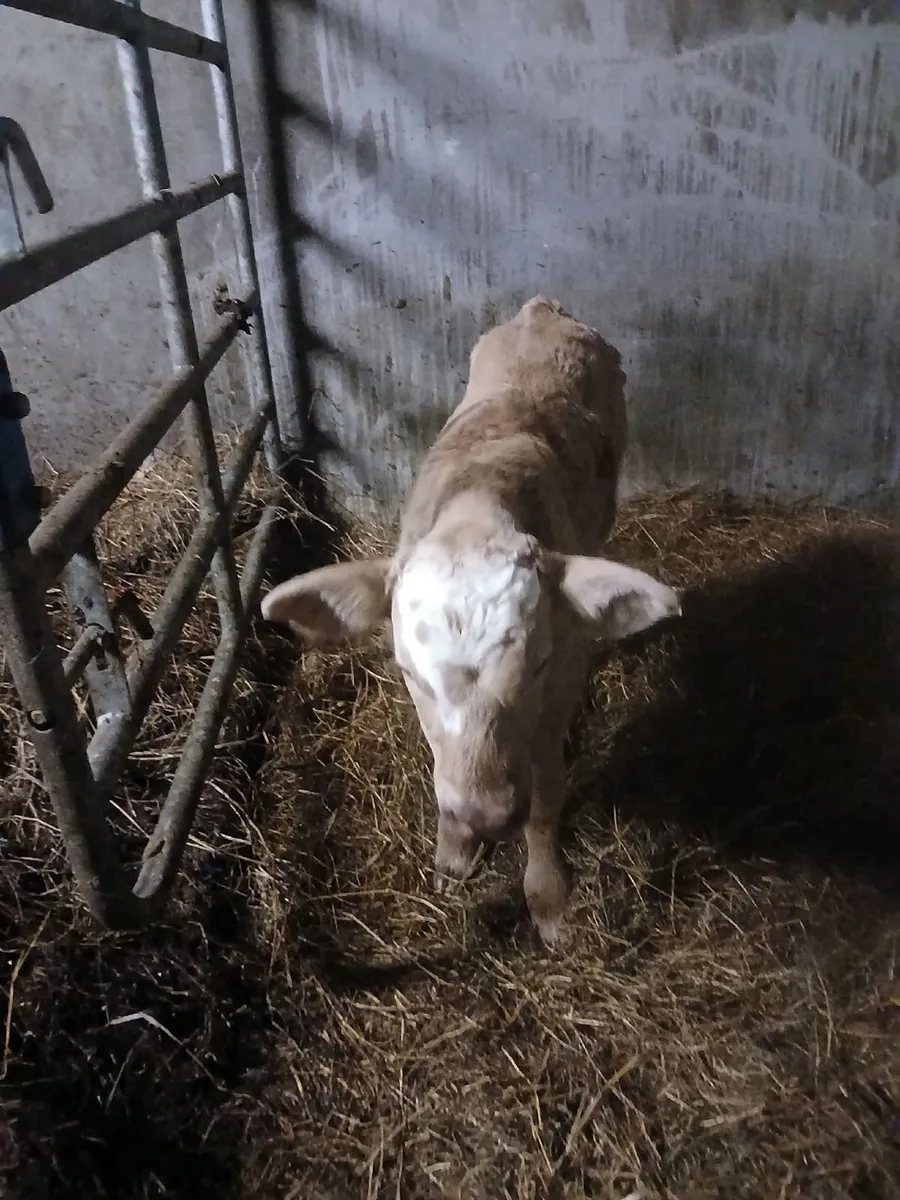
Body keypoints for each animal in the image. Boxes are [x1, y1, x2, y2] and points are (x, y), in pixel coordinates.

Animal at [261, 296, 680, 947]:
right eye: (409, 672)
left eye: (536, 665)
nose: (485, 817)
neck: (478, 505)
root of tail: (541, 310)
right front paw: (454, 855)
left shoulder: (557, 695)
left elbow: (545, 800)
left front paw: (548, 902)